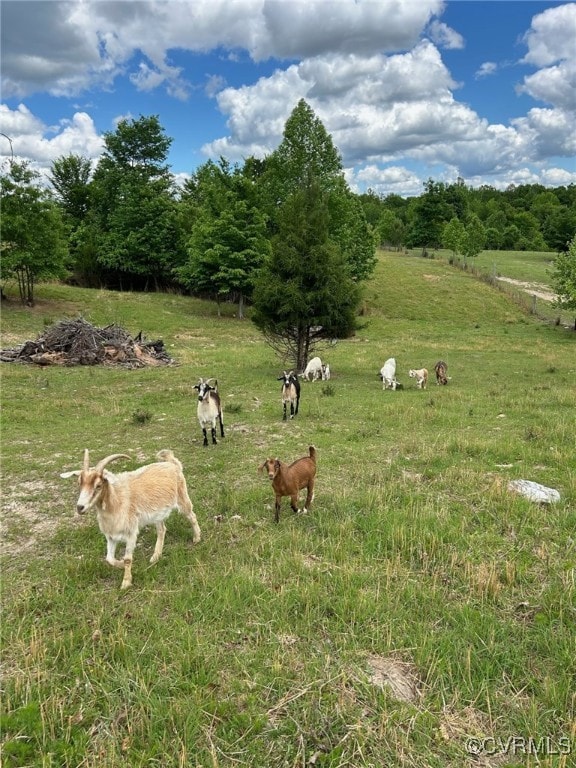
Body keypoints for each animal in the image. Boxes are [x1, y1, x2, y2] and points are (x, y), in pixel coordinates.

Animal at [60, 450, 200, 588]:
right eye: (79, 483)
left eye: (98, 485)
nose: (80, 507)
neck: (117, 501)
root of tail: (172, 463)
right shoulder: (111, 536)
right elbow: (109, 558)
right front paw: (120, 564)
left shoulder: (131, 532)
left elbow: (128, 559)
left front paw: (126, 583)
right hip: (158, 513)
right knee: (162, 530)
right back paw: (155, 556)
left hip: (182, 497)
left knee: (192, 516)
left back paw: (196, 538)